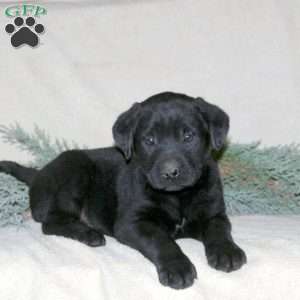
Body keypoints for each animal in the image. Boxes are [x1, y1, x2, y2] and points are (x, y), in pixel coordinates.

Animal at [0, 91, 246, 288]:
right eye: (149, 140)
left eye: (188, 136)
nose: (171, 172)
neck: (178, 196)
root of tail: (38, 173)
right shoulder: (132, 223)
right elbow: (161, 240)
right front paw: (177, 267)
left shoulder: (214, 213)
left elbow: (219, 230)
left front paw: (227, 252)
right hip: (76, 168)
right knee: (51, 222)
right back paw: (88, 234)